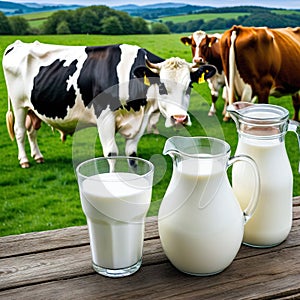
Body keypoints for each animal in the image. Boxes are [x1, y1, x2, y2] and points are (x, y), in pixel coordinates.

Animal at [3, 39, 217, 168]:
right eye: (162, 86)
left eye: (189, 86)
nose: (179, 118)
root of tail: (17, 44)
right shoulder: (104, 117)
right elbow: (112, 153)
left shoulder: (140, 120)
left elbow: (132, 154)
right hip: (19, 104)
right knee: (20, 131)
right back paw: (24, 161)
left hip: (33, 107)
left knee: (32, 131)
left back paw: (38, 156)